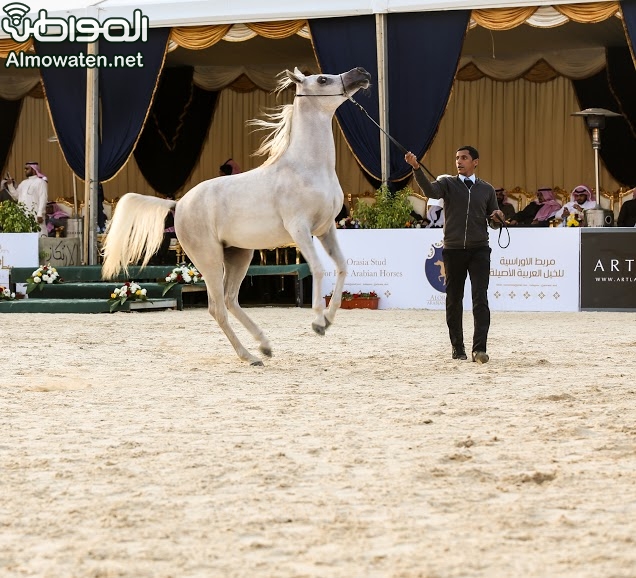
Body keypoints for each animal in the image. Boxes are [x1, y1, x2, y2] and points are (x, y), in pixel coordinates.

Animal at [103, 67, 372, 364]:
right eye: (323, 80)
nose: (361, 73)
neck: (307, 168)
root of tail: (179, 203)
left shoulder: (325, 229)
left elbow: (342, 267)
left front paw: (328, 319)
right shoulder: (300, 229)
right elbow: (318, 269)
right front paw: (317, 322)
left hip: (239, 254)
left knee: (231, 300)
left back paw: (263, 346)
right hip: (209, 259)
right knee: (217, 308)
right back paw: (249, 355)